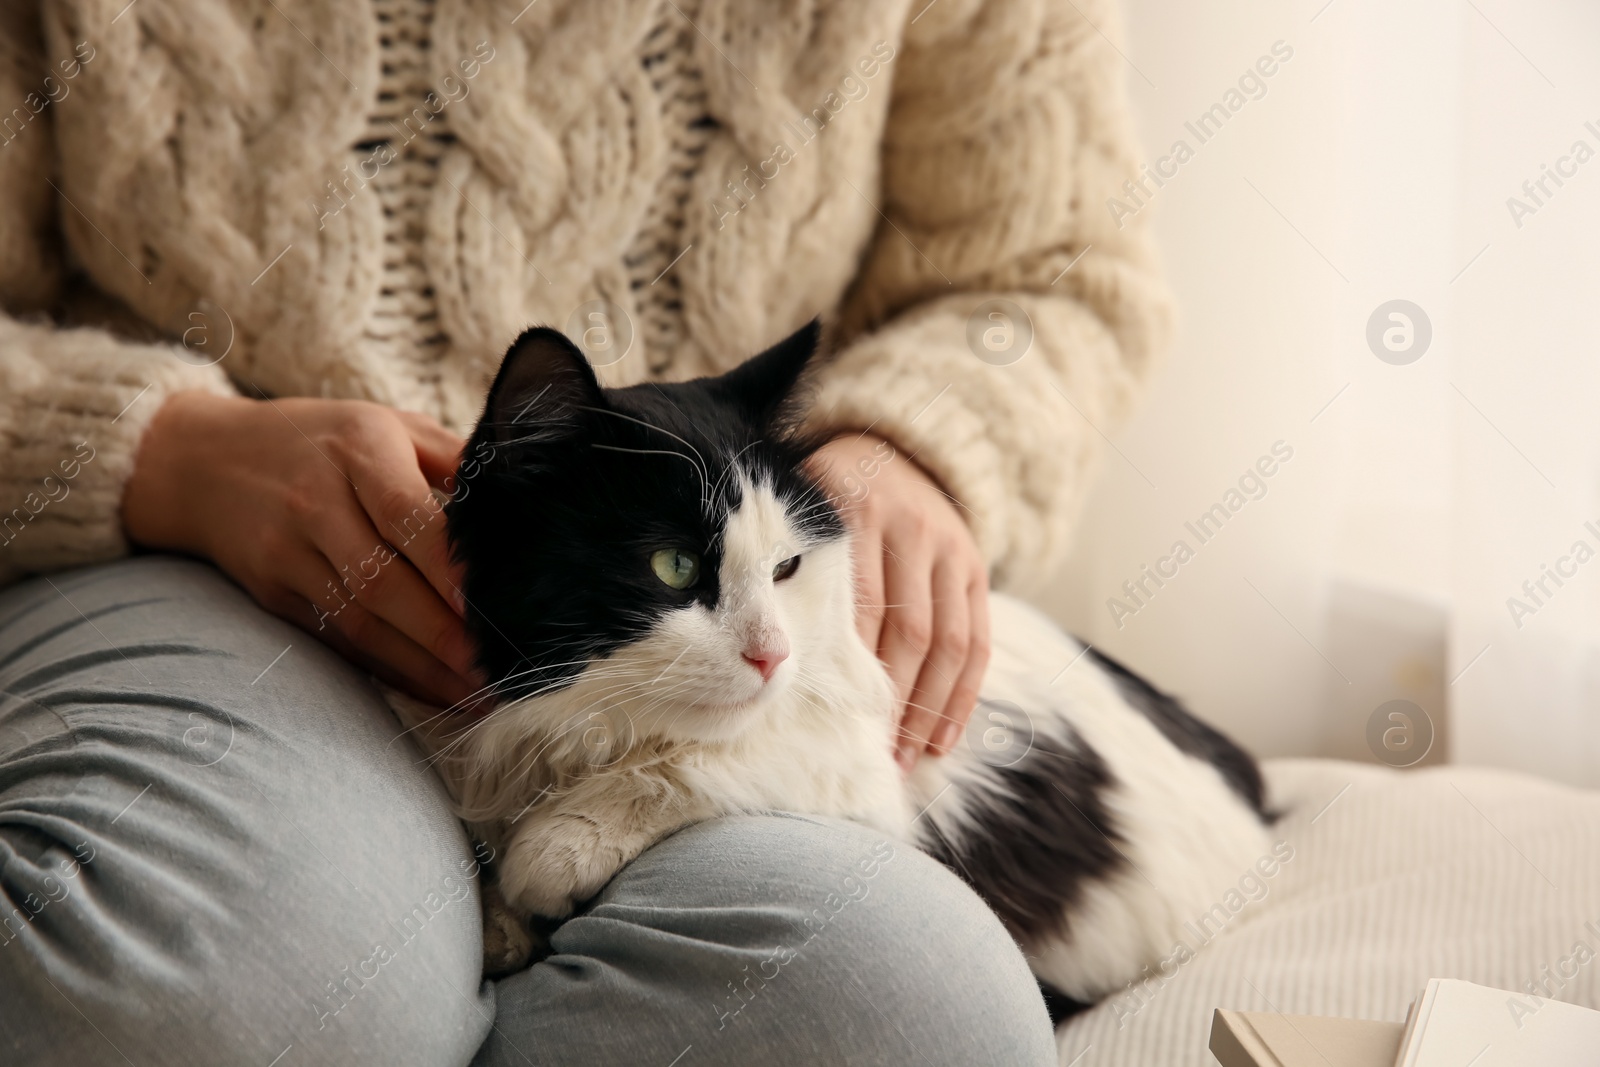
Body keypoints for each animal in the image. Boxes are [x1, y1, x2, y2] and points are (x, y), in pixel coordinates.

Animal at [425, 321, 1273, 1004]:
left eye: (786, 567)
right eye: (673, 566)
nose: (772, 654)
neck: (577, 728)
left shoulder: (864, 770)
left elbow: (699, 760)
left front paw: (557, 846)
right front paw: (499, 917)